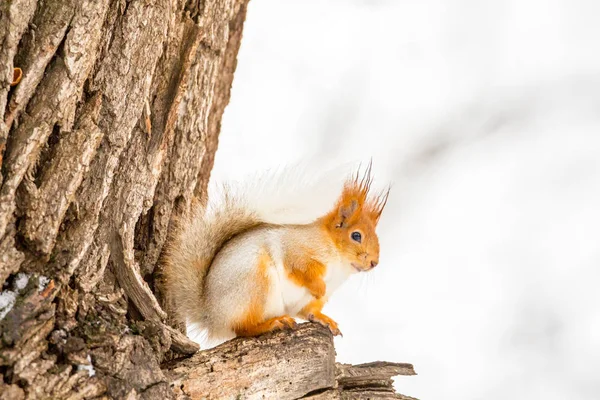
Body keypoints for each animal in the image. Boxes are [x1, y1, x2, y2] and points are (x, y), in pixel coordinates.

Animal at [163, 161, 390, 342]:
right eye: (356, 236)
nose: (374, 262)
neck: (339, 266)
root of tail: (212, 316)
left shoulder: (312, 302)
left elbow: (309, 312)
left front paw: (325, 320)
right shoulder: (297, 250)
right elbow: (300, 269)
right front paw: (318, 286)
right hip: (256, 284)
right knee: (241, 328)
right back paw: (272, 323)